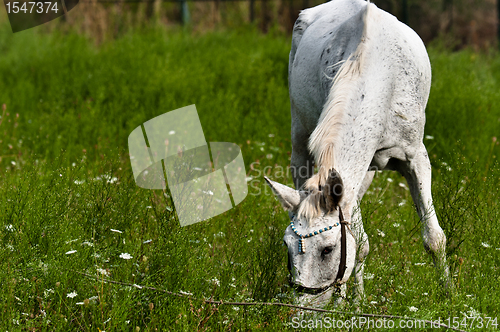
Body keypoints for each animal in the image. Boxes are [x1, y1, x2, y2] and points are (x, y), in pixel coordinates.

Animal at [266, 0, 450, 306]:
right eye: (286, 247)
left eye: (327, 250)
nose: (305, 308)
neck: (383, 76)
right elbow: (359, 243)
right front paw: (351, 305)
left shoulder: (416, 157)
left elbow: (435, 238)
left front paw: (449, 297)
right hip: (300, 143)